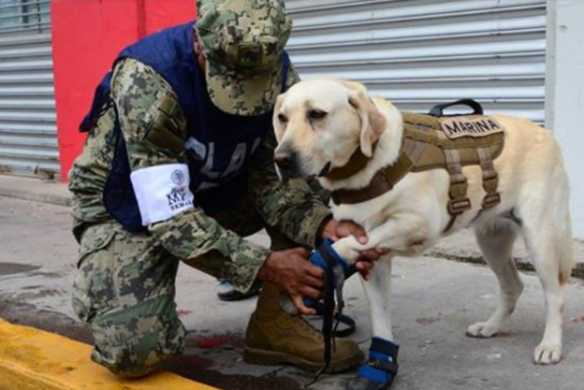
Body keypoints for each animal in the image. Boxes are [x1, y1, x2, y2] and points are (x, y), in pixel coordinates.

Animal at [272, 77, 572, 386]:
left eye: (317, 114)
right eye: (282, 118)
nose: (281, 159)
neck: (367, 166)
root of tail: (545, 132)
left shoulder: (419, 223)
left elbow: (345, 244)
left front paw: (323, 261)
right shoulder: (375, 261)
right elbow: (380, 317)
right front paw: (380, 366)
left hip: (540, 237)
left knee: (555, 294)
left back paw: (550, 345)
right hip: (492, 240)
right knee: (513, 285)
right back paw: (490, 326)